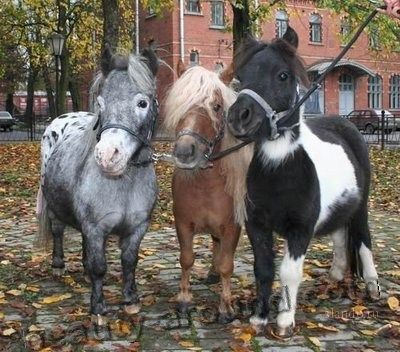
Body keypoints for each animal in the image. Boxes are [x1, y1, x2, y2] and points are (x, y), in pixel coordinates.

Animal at [227, 26, 380, 336]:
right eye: (241, 77)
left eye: (283, 75)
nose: (239, 117)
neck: (280, 170)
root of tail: (347, 124)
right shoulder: (257, 226)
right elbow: (263, 269)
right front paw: (259, 318)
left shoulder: (300, 229)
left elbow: (289, 271)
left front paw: (285, 320)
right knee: (339, 234)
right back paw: (335, 275)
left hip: (361, 207)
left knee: (363, 240)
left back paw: (372, 286)